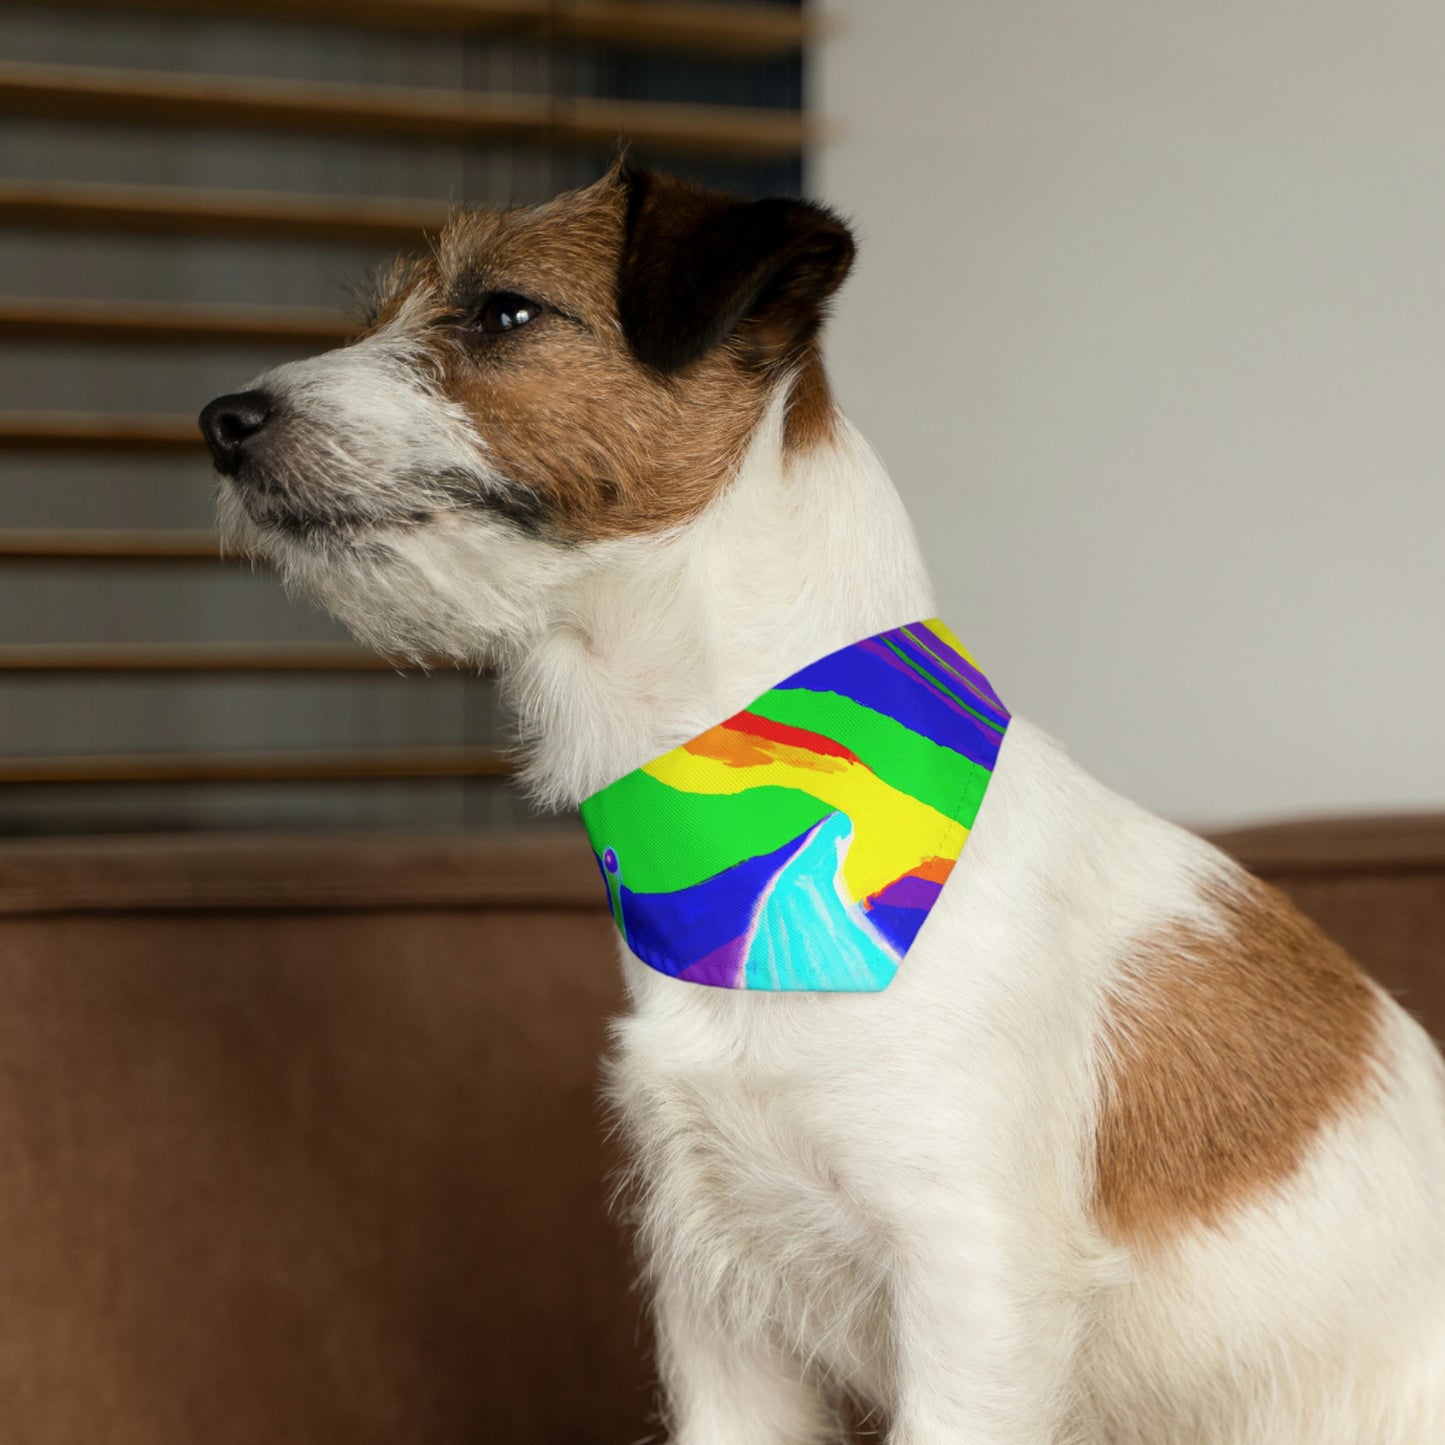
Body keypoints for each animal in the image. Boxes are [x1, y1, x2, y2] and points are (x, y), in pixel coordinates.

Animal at [200, 164, 1445, 1439]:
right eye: (382, 314)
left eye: (503, 311)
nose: (222, 421)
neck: (750, 812)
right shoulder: (716, 1304)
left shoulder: (972, 1292)